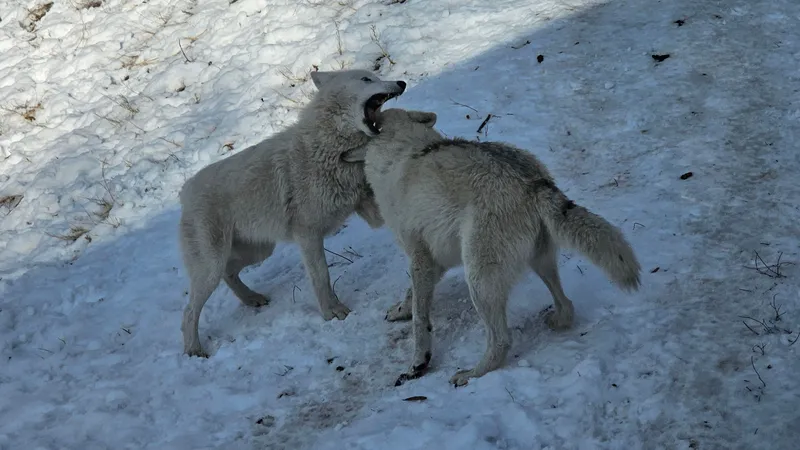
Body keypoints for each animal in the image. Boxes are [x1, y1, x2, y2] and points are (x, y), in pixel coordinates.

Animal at [178, 69, 404, 358]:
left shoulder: (370, 211)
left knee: (230, 274)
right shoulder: (307, 235)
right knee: (189, 312)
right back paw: (194, 350)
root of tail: (185, 191)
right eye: (366, 80)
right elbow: (321, 277)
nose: (401, 83)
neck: (329, 149)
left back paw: (252, 299)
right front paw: (332, 313)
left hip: (258, 252)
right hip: (211, 267)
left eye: (376, 76)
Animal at [346, 108, 640, 386]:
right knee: (566, 304)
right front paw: (400, 311)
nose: (344, 151)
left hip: (478, 281)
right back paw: (557, 320)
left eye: (371, 125)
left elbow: (420, 319)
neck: (403, 151)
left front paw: (418, 364)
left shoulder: (420, 259)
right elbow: (410, 296)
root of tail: (533, 182)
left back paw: (471, 374)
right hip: (539, 262)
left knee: (501, 340)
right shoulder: (435, 261)